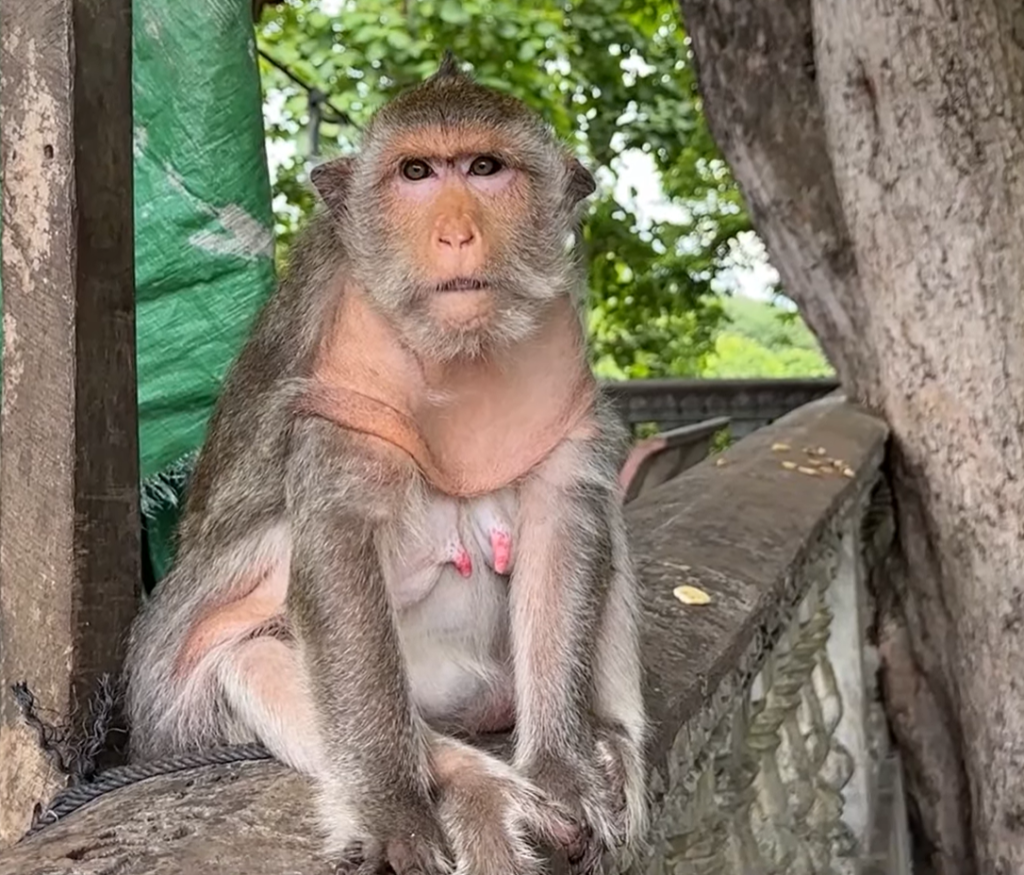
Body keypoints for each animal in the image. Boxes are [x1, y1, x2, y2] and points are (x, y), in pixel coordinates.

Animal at [123, 53, 648, 875]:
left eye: (485, 168)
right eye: (416, 172)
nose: (457, 233)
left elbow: (566, 512)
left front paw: (565, 767)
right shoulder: (348, 377)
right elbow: (337, 546)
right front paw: (396, 805)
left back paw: (610, 741)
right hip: (193, 706)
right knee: (253, 653)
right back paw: (469, 783)